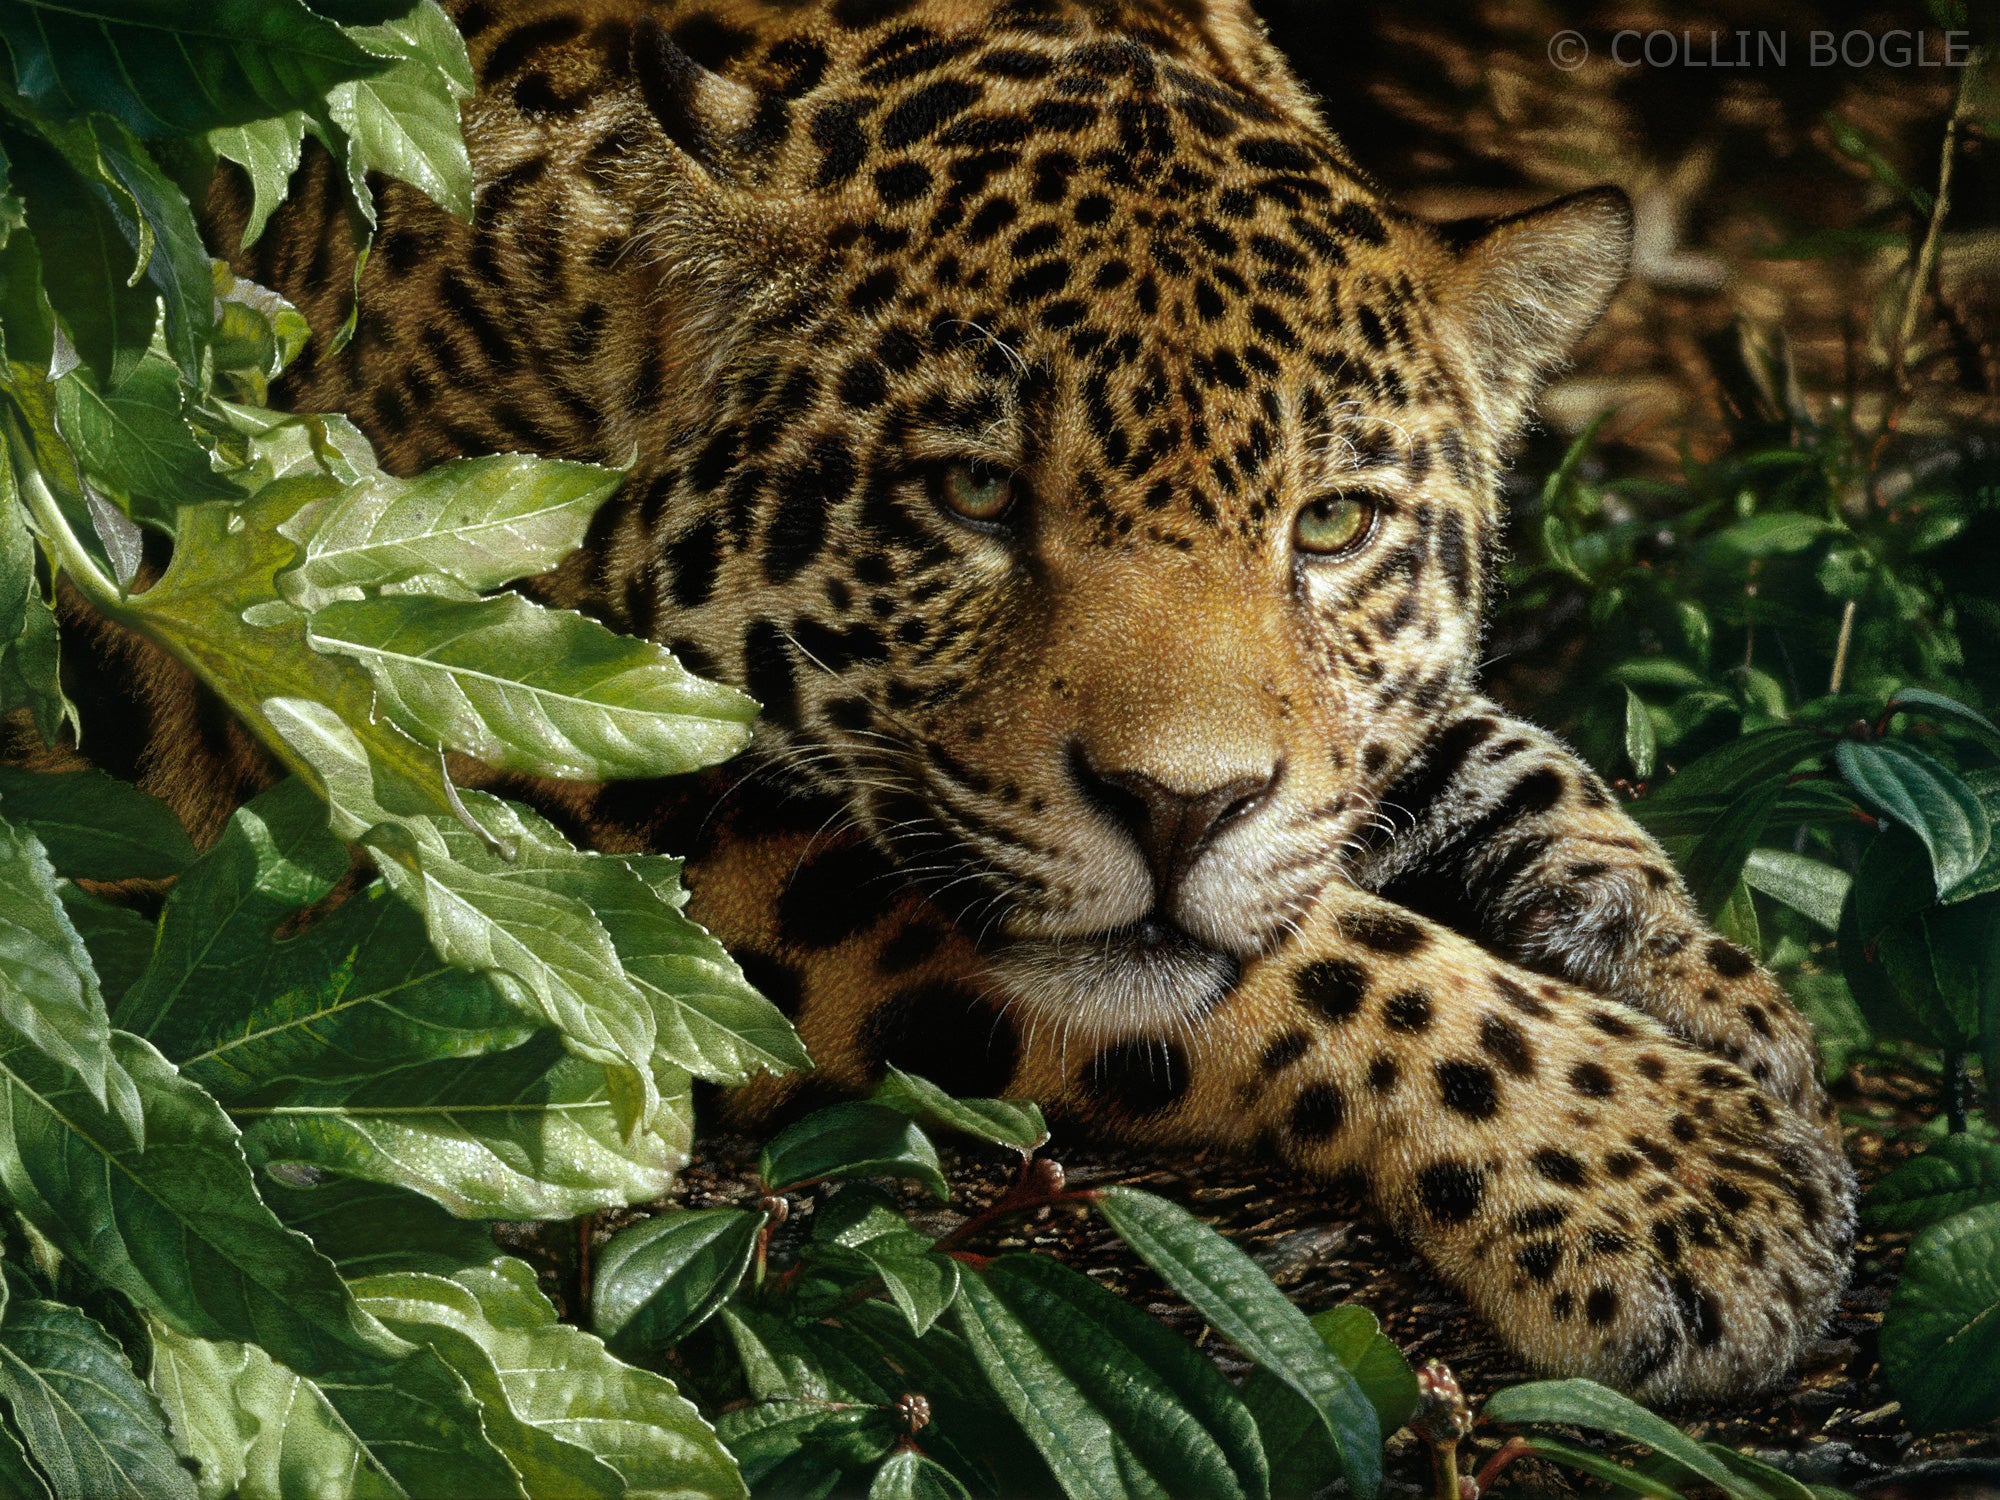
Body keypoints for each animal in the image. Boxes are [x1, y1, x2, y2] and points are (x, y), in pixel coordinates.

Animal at [70, 0, 1857, 1403]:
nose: (1182, 811)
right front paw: (1670, 1171)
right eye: (978, 497)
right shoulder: (487, 756)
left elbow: (1501, 763)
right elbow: (1323, 959)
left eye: (1333, 526)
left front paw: (1711, 993)